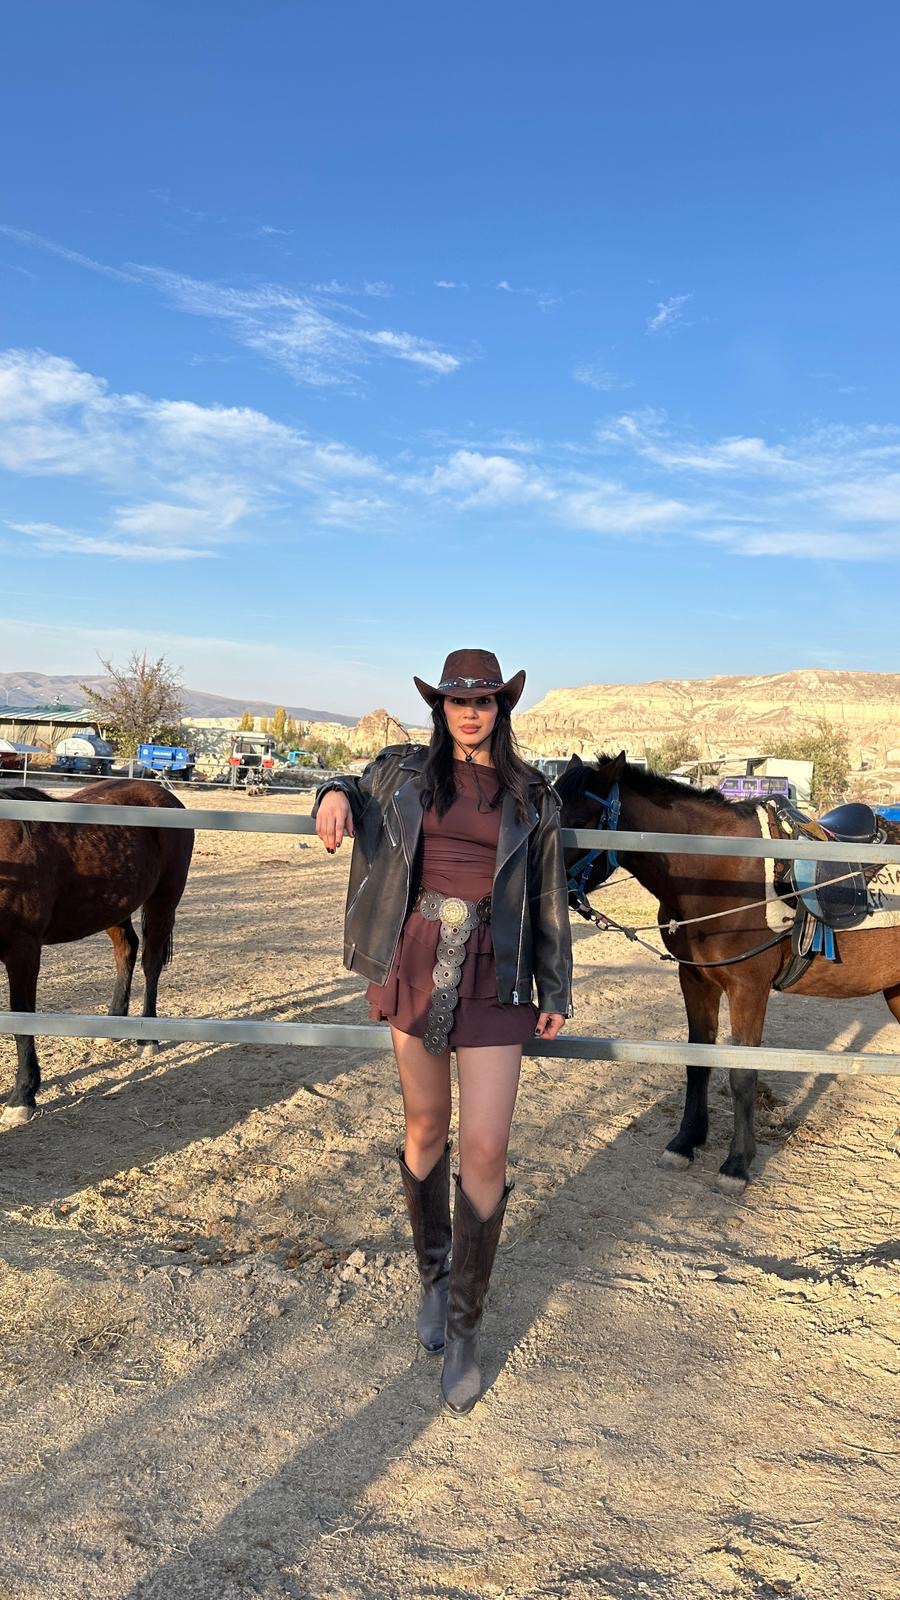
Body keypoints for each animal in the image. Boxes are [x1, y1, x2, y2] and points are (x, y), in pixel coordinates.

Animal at [0, 779, 194, 1125]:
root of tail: (164, 795)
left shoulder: (23, 949)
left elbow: (21, 1019)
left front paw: (22, 1097)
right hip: (113, 906)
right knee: (126, 949)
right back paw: (114, 1023)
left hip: (163, 901)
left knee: (151, 963)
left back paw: (147, 1039)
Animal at [555, 752, 900, 1193]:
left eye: (580, 819)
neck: (718, 869)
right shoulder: (696, 980)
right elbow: (697, 1059)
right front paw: (685, 1142)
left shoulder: (747, 988)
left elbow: (741, 1073)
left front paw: (737, 1163)